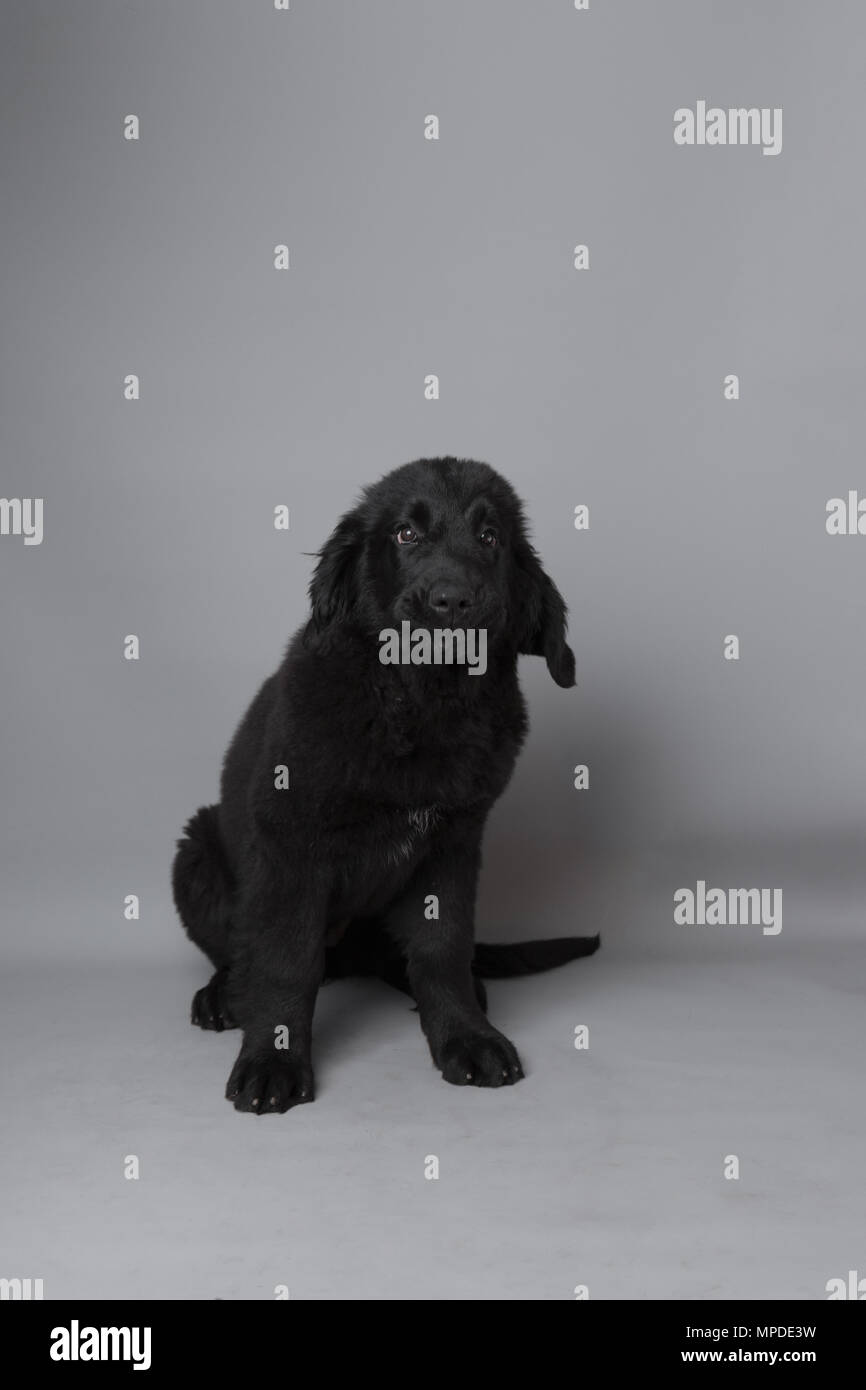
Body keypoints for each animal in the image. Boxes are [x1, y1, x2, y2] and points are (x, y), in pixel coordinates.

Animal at [173, 461, 600, 1112]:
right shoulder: (290, 845)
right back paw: (224, 995)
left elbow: (442, 947)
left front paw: (464, 1036)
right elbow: (284, 960)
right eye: (405, 533)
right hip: (196, 850)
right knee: (241, 953)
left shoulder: (452, 847)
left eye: (490, 537)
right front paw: (272, 1059)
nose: (451, 601)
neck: (423, 703)